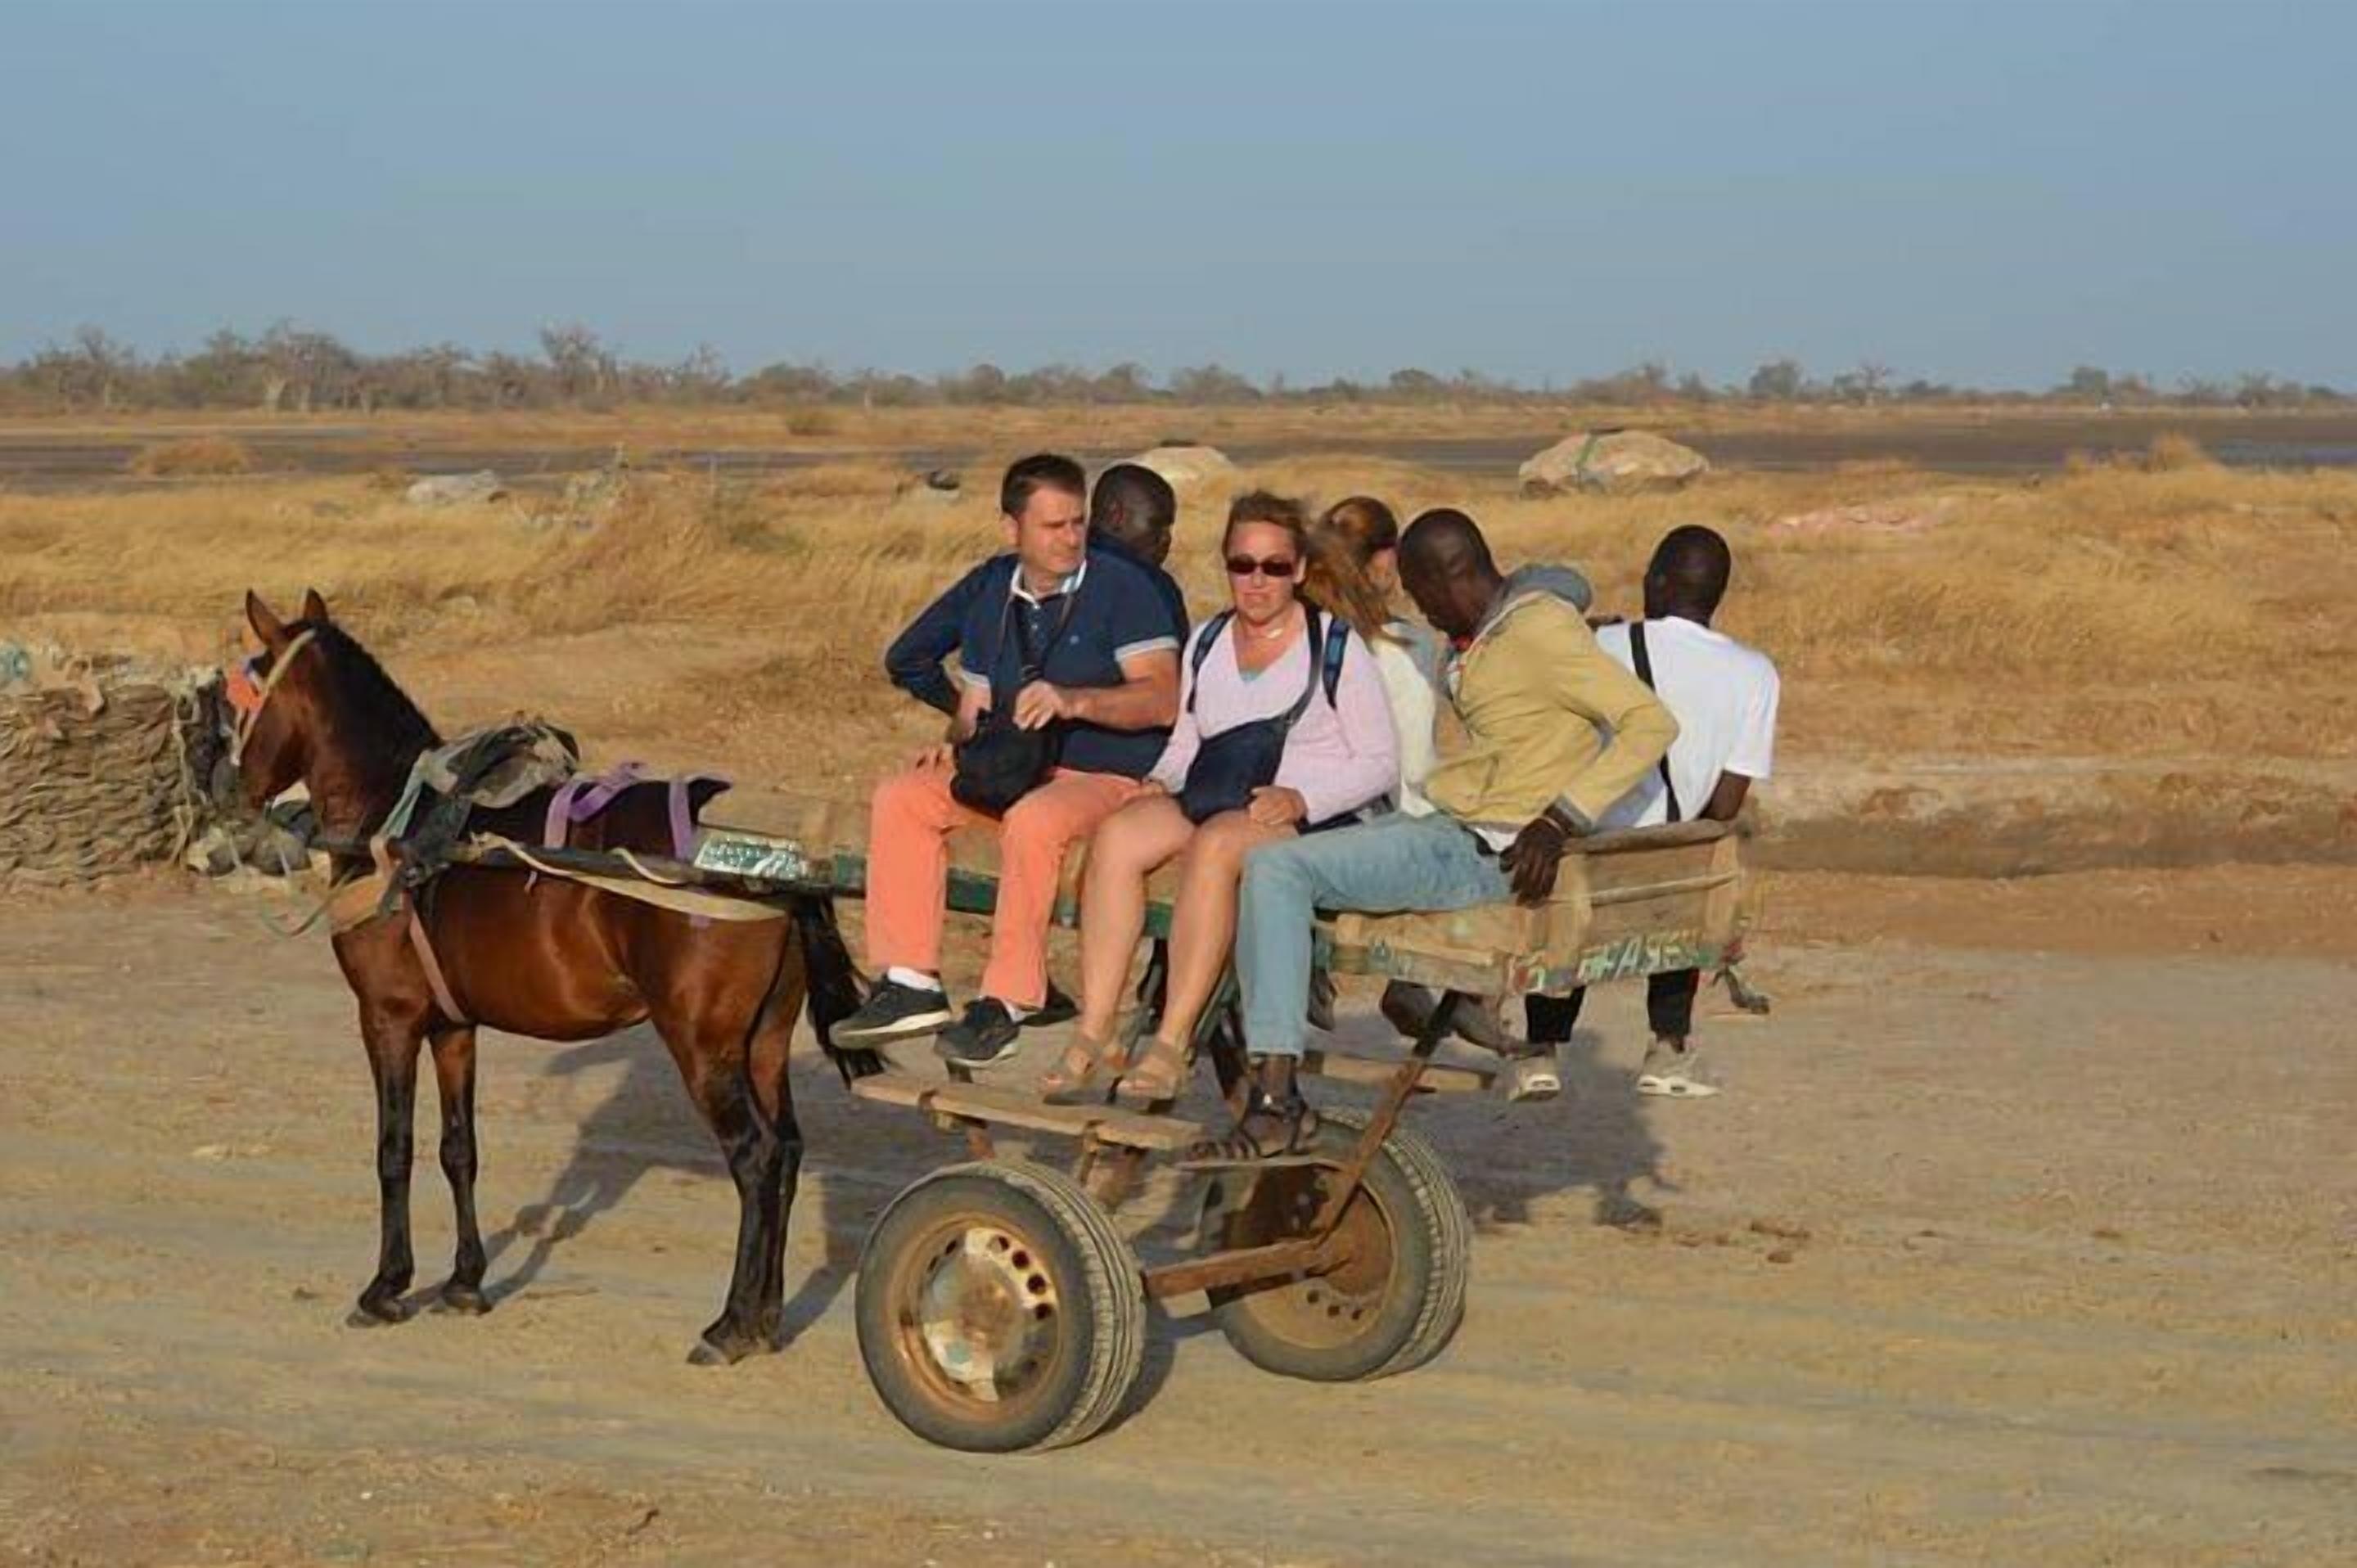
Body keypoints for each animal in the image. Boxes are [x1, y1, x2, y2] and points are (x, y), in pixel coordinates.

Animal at [232, 588, 877, 1365]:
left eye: (244, 691)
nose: (233, 789)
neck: (400, 820)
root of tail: (774, 861)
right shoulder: (454, 1027)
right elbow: (458, 1149)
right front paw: (465, 1282)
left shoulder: (387, 1017)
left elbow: (395, 1150)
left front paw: (387, 1287)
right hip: (762, 1041)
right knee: (785, 1151)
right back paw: (767, 1317)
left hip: (702, 1045)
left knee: (754, 1159)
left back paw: (728, 1324)